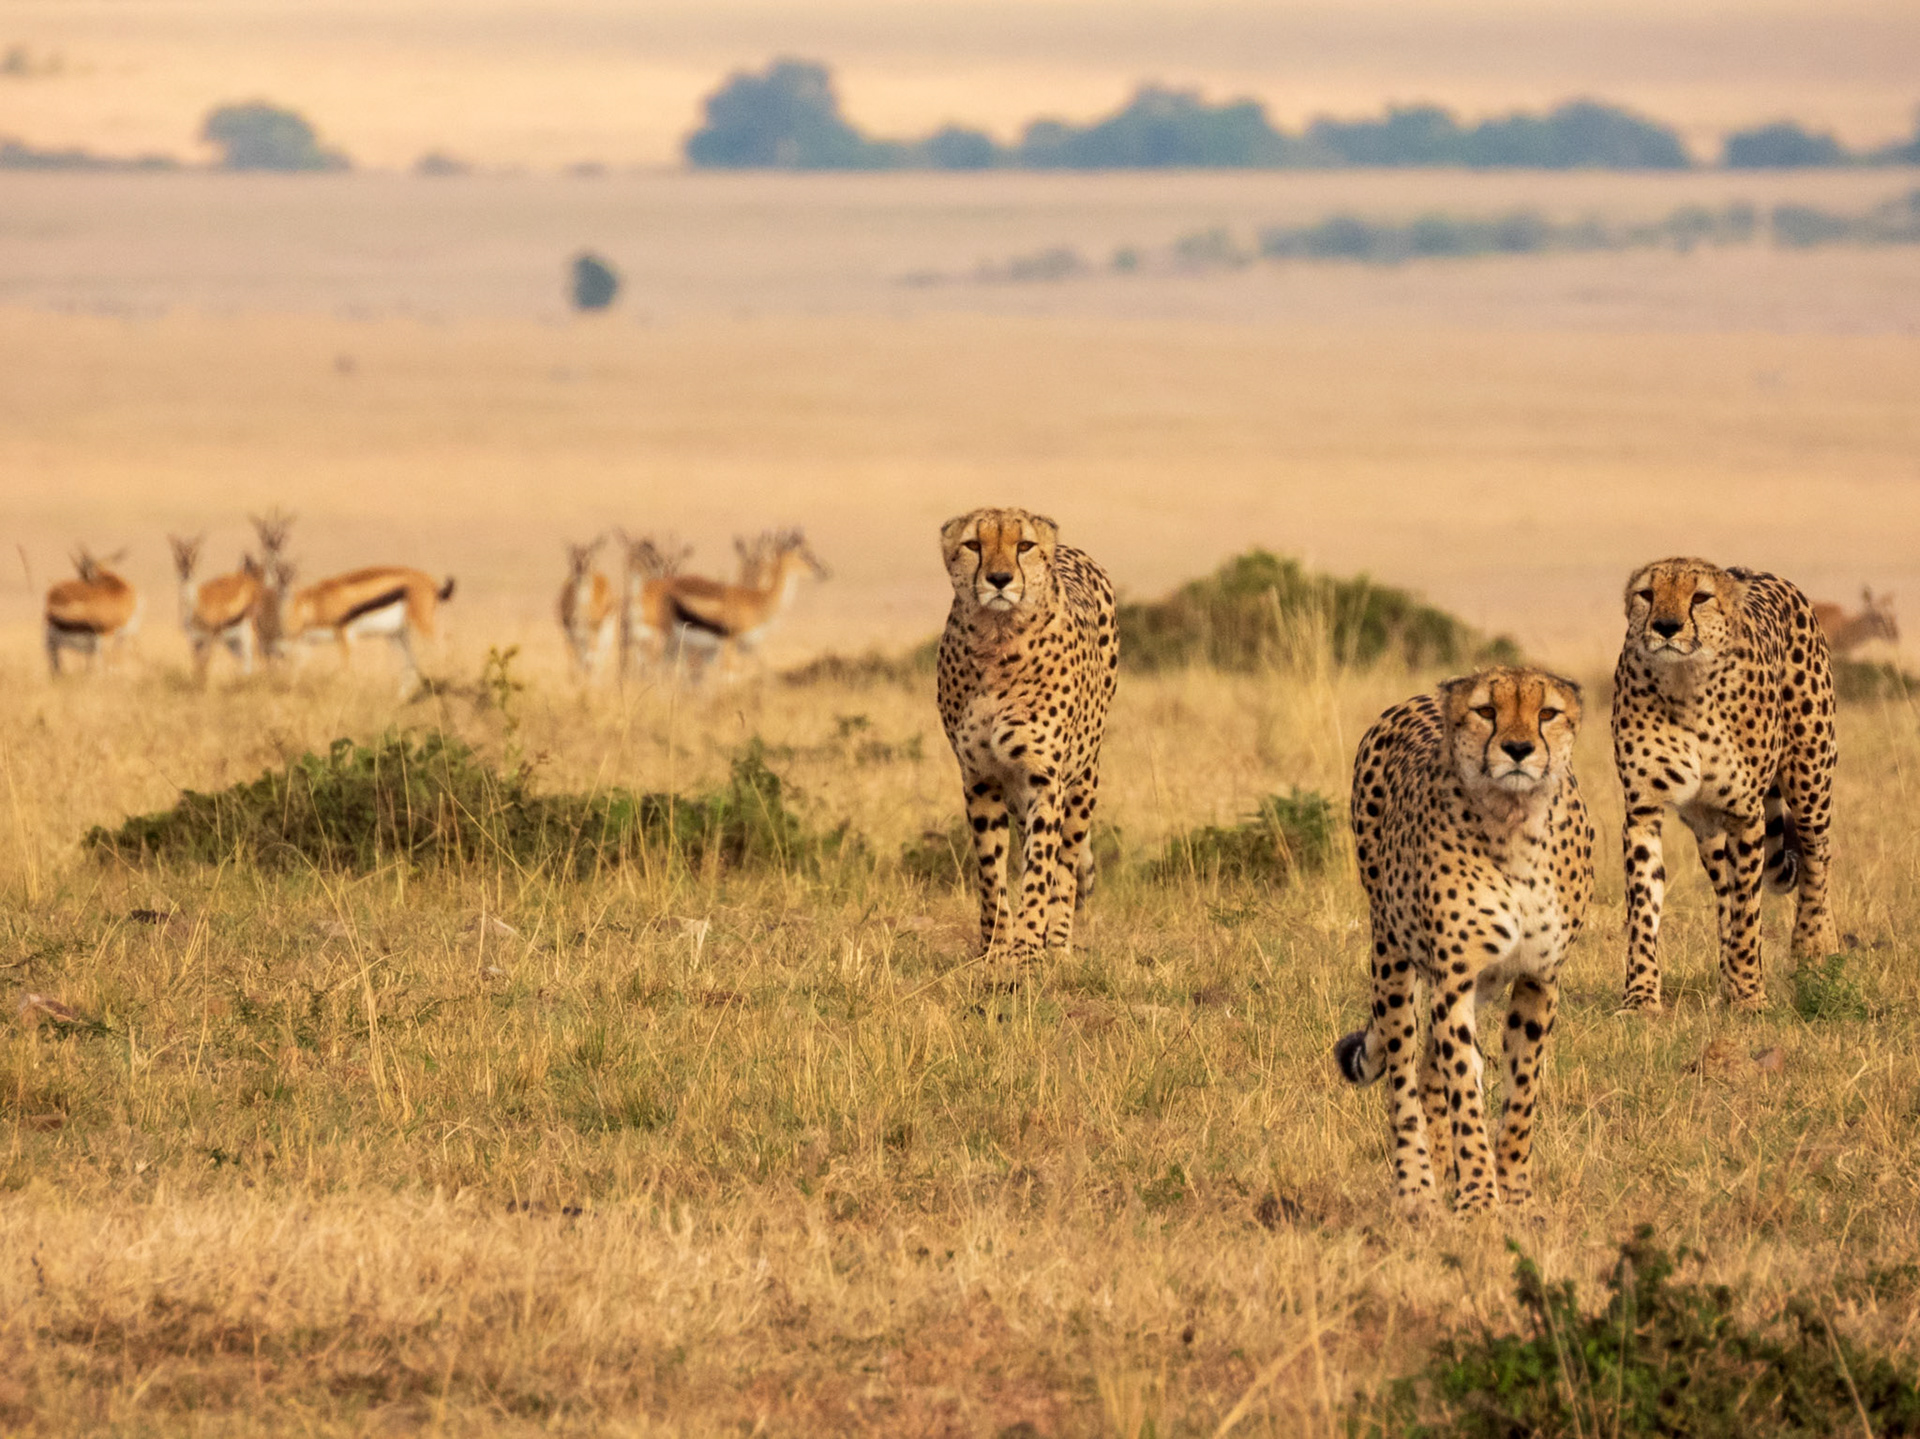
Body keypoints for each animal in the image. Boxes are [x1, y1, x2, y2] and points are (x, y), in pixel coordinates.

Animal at [936, 508, 1118, 964]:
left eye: (1024, 545)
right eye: (973, 545)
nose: (1000, 579)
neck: (997, 637)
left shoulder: (1044, 777)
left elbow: (1040, 869)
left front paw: (1029, 948)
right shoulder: (980, 776)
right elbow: (990, 867)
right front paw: (996, 947)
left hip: (1083, 779)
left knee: (1066, 864)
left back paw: (1058, 943)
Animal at [1335, 666, 1595, 1216]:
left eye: (1547, 713)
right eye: (1486, 711)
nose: (1518, 749)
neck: (1515, 822)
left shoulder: (1539, 978)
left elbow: (1520, 1095)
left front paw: (1515, 1194)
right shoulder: (1454, 980)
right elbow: (1463, 1098)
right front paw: (1479, 1199)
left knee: (1431, 1071)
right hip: (1392, 958)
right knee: (1405, 1077)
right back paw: (1418, 1186)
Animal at [1612, 558, 1838, 1013]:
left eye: (1700, 597)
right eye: (1647, 594)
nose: (1666, 626)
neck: (1686, 684)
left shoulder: (1745, 814)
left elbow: (1748, 910)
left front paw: (1750, 994)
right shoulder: (1643, 812)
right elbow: (1644, 907)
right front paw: (1641, 997)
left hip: (1810, 777)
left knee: (1817, 856)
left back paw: (1814, 944)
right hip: (1708, 831)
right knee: (1724, 891)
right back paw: (1726, 982)